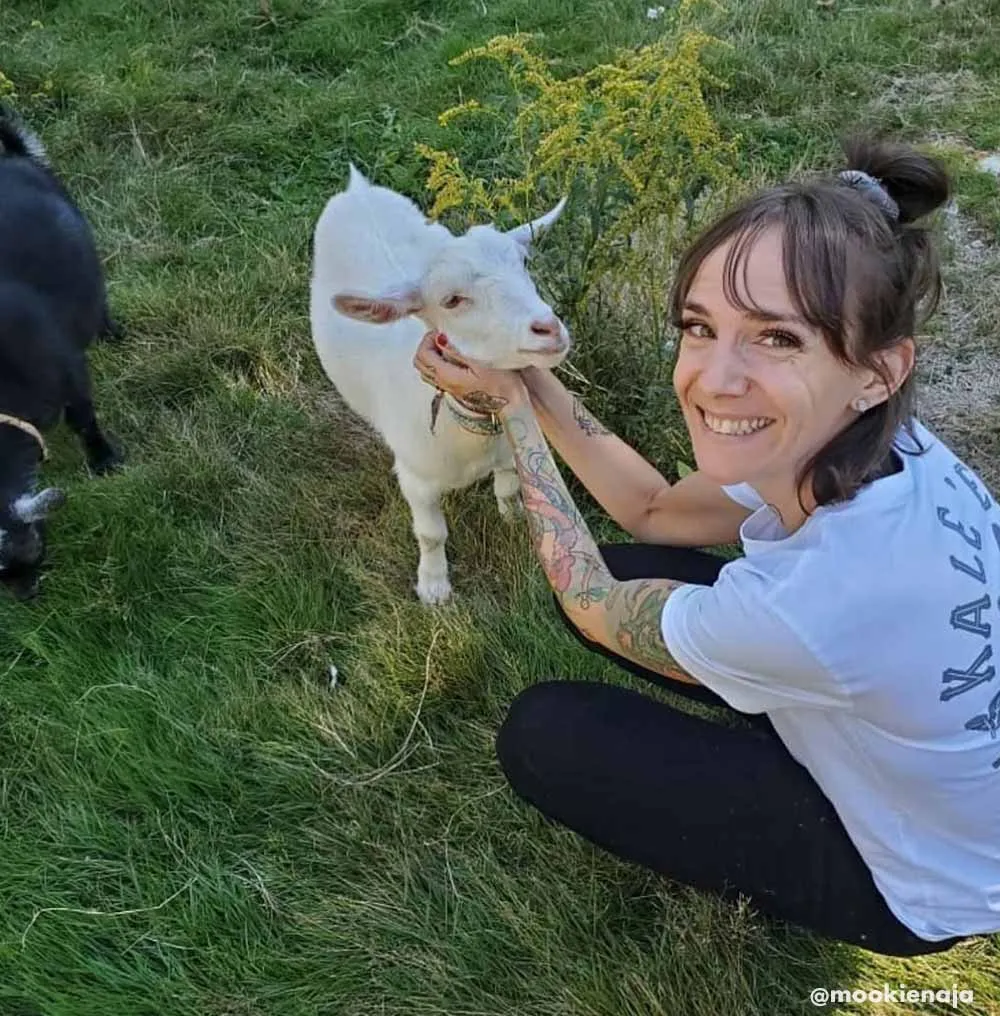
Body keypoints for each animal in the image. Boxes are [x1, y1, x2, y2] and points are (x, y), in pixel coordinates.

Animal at [0, 107, 123, 597]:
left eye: (30, 547)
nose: (28, 598)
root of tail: (13, 158)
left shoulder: (70, 375)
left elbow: (84, 420)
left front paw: (105, 461)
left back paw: (111, 331)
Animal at [308, 165, 569, 601]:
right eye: (452, 300)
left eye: (524, 261)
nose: (548, 328)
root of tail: (357, 188)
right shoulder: (416, 478)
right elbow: (431, 534)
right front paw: (433, 587)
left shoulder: (508, 452)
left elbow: (509, 488)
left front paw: (514, 521)